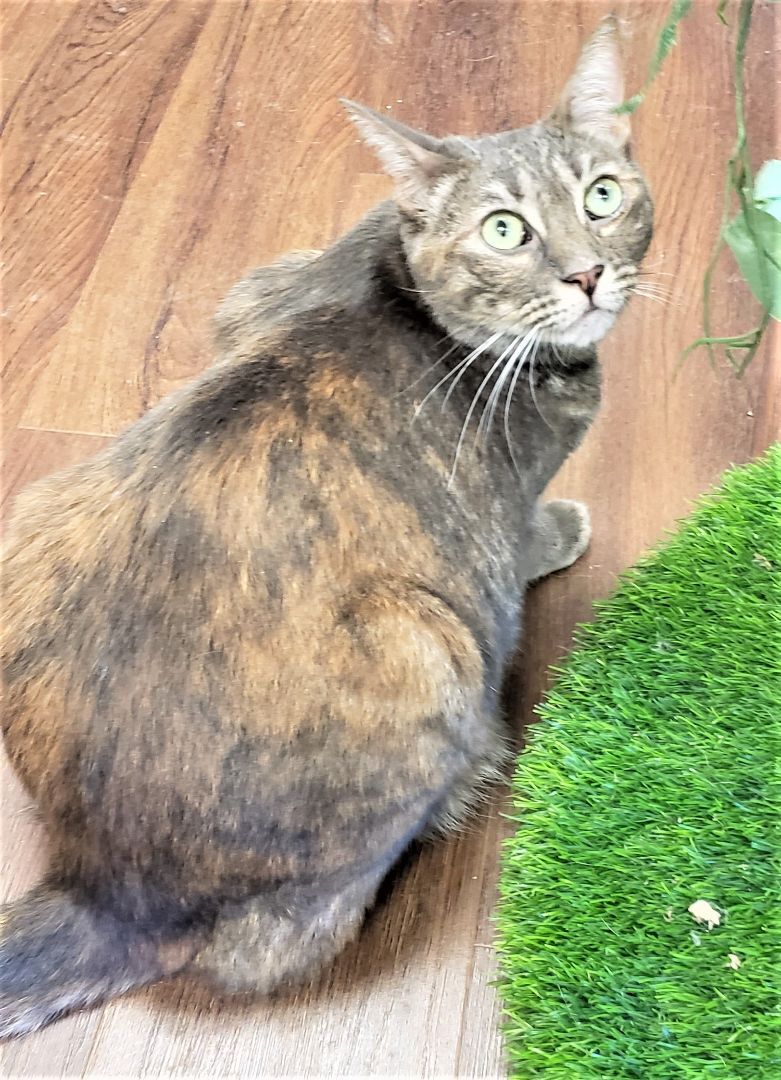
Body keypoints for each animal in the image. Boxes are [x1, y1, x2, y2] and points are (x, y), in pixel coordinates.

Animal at [0, 16, 652, 1038]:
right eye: (504, 229)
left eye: (602, 195)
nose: (585, 273)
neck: (394, 274)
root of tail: (100, 890)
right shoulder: (498, 511)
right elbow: (523, 537)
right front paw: (561, 528)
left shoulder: (253, 291)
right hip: (425, 646)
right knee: (275, 943)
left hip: (33, 508)